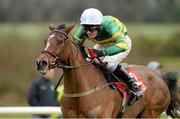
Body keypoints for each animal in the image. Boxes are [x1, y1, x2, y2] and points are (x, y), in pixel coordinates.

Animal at [35, 23, 178, 117]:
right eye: (45, 41)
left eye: (59, 41)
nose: (41, 62)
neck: (80, 90)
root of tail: (160, 77)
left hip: (150, 112)